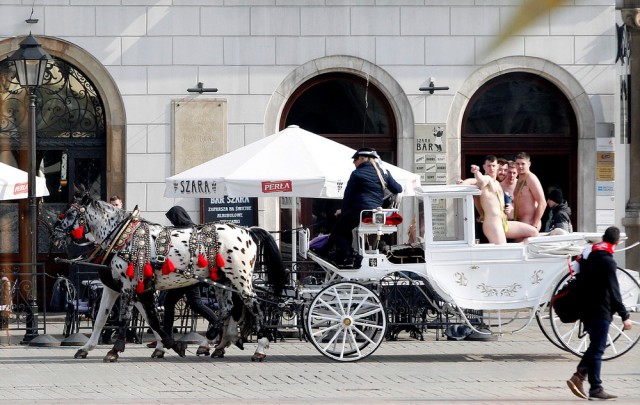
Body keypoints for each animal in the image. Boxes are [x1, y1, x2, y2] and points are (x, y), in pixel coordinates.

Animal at [51, 191, 286, 362]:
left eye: (69, 214)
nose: (54, 236)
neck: (124, 237)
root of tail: (248, 231)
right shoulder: (119, 288)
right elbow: (108, 318)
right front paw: (86, 347)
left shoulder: (129, 286)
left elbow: (126, 318)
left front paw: (115, 350)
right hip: (222, 280)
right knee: (228, 309)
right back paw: (214, 344)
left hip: (240, 278)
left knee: (254, 306)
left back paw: (259, 348)